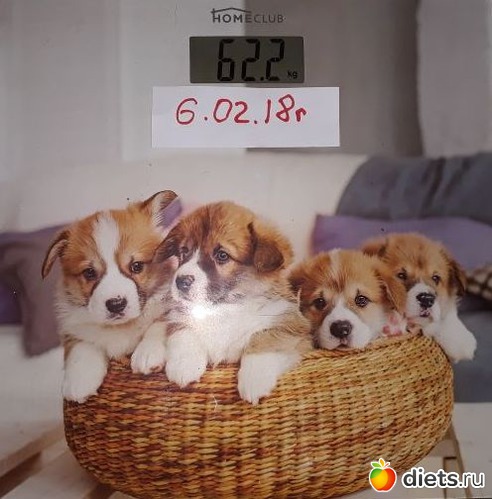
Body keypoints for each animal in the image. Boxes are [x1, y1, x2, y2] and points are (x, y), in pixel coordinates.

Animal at [41, 190, 179, 402]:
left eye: (136, 266)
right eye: (89, 273)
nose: (116, 304)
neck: (120, 328)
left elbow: (159, 324)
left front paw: (147, 353)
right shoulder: (72, 328)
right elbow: (82, 345)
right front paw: (79, 380)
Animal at [142, 201, 312, 405]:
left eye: (222, 255)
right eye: (184, 251)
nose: (180, 281)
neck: (223, 306)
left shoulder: (290, 325)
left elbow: (263, 340)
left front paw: (254, 380)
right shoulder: (180, 315)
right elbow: (184, 331)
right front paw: (184, 365)